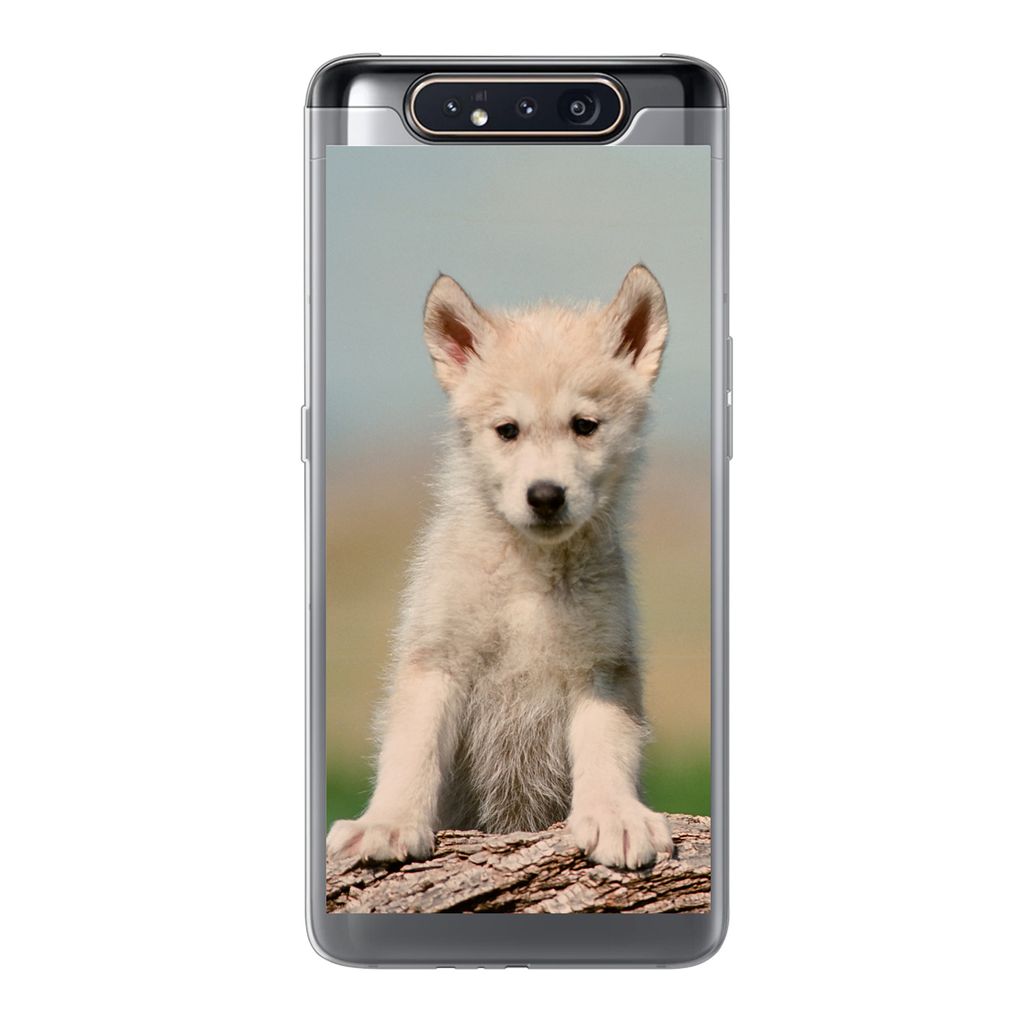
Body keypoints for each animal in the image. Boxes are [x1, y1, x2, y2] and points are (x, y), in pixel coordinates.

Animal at [326, 265, 675, 869]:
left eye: (585, 425)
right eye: (507, 430)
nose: (545, 496)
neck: (529, 575)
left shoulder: (603, 668)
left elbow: (607, 749)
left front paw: (614, 815)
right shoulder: (436, 660)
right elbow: (412, 751)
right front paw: (387, 822)